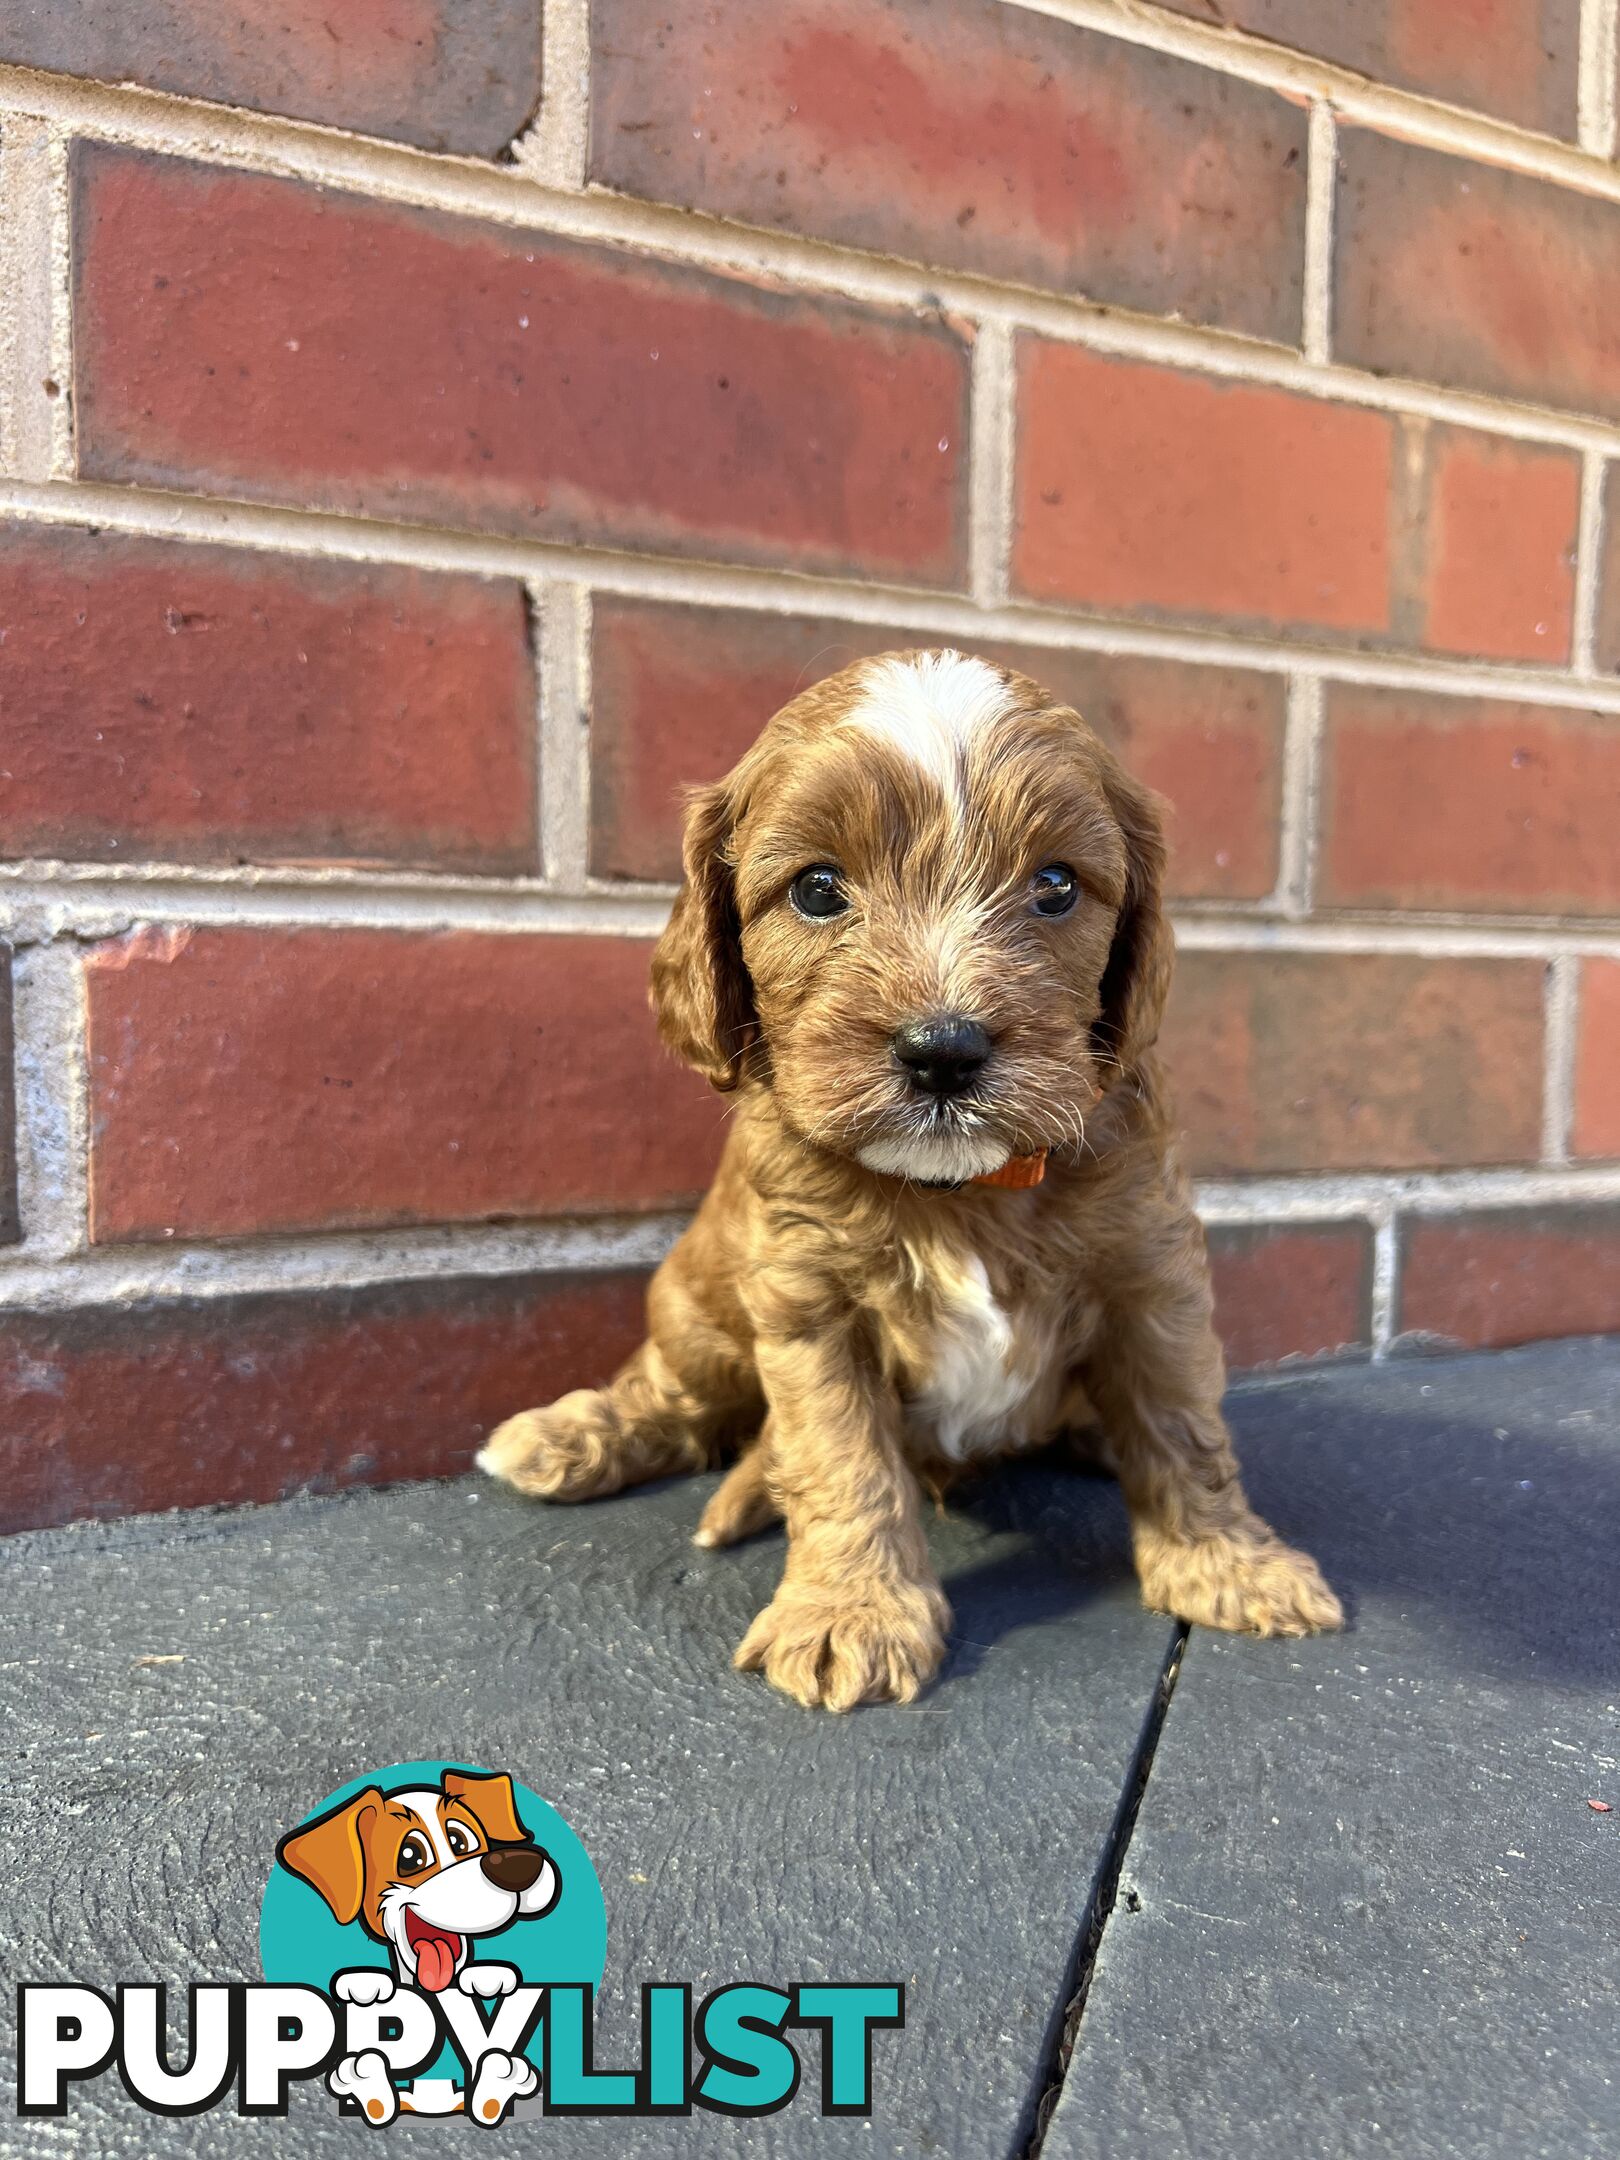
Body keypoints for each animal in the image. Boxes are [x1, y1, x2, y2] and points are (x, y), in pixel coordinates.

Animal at [481, 648, 1347, 1710]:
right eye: (816, 889)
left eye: (1057, 885)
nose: (943, 1051)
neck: (958, 1192)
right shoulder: (808, 1307)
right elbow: (841, 1459)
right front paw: (850, 1615)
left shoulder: (1151, 1273)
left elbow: (1183, 1423)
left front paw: (1230, 1566)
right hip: (695, 1302)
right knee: (674, 1396)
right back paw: (566, 1439)